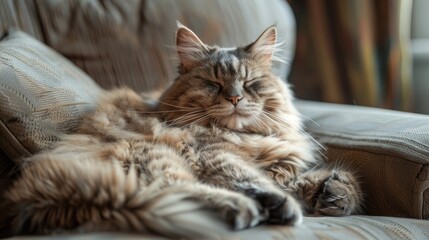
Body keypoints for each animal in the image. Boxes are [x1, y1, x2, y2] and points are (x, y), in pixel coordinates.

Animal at [0, 23, 362, 238]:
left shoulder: (281, 167)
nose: (235, 98)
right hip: (154, 157)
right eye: (213, 84)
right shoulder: (212, 155)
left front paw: (335, 195)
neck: (243, 136)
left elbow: (332, 181)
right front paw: (290, 203)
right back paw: (249, 209)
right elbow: (252, 177)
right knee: (176, 191)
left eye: (249, 84)